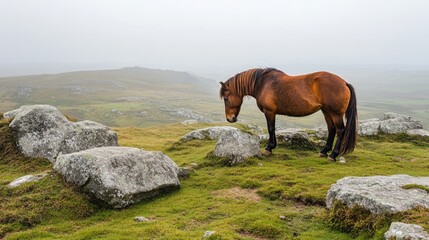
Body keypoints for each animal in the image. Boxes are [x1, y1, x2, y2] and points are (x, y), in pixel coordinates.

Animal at [219, 67, 356, 161]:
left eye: (226, 98)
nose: (230, 119)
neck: (263, 83)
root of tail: (344, 83)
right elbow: (273, 129)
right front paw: (272, 147)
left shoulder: (269, 112)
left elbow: (271, 128)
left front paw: (269, 149)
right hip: (326, 111)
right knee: (331, 129)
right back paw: (324, 151)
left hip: (335, 114)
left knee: (340, 130)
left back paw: (333, 155)